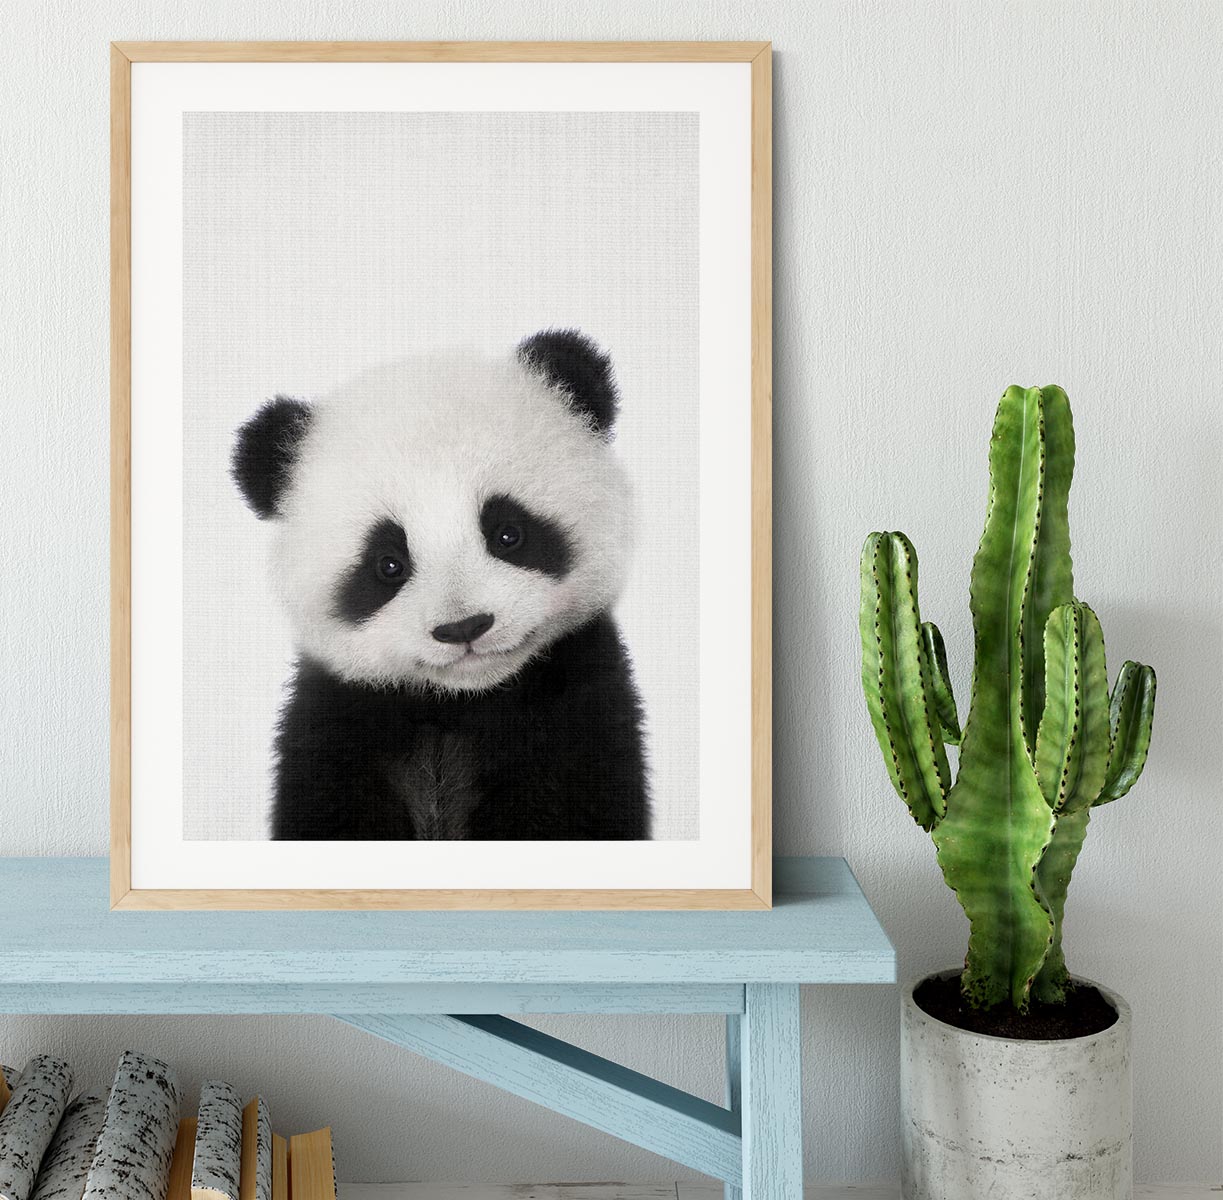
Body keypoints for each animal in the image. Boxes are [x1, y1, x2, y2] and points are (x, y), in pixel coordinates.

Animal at [231, 329, 652, 841]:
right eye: (388, 564)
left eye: (508, 533)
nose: (464, 627)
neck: (459, 704)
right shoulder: (337, 725)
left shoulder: (576, 711)